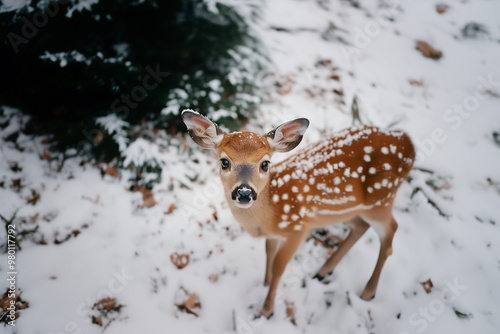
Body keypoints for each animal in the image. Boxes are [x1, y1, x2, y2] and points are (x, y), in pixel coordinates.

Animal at [182, 109, 416, 318]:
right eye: (224, 162)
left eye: (265, 164)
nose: (245, 192)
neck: (270, 215)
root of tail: (408, 144)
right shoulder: (274, 233)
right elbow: (268, 253)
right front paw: (264, 282)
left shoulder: (298, 228)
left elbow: (279, 266)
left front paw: (266, 310)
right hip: (351, 210)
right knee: (361, 227)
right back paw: (323, 272)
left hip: (381, 200)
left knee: (391, 231)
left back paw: (368, 292)